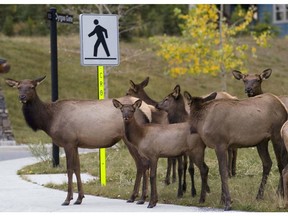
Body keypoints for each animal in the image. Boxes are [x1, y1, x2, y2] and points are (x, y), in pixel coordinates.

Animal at [5, 76, 153, 206]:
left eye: (32, 86)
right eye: (19, 87)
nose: (22, 97)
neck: (48, 120)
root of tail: (147, 110)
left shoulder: (68, 141)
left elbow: (69, 169)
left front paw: (67, 199)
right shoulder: (75, 144)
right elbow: (77, 168)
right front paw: (79, 198)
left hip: (131, 139)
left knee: (143, 164)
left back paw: (141, 198)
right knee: (141, 164)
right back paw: (136, 197)